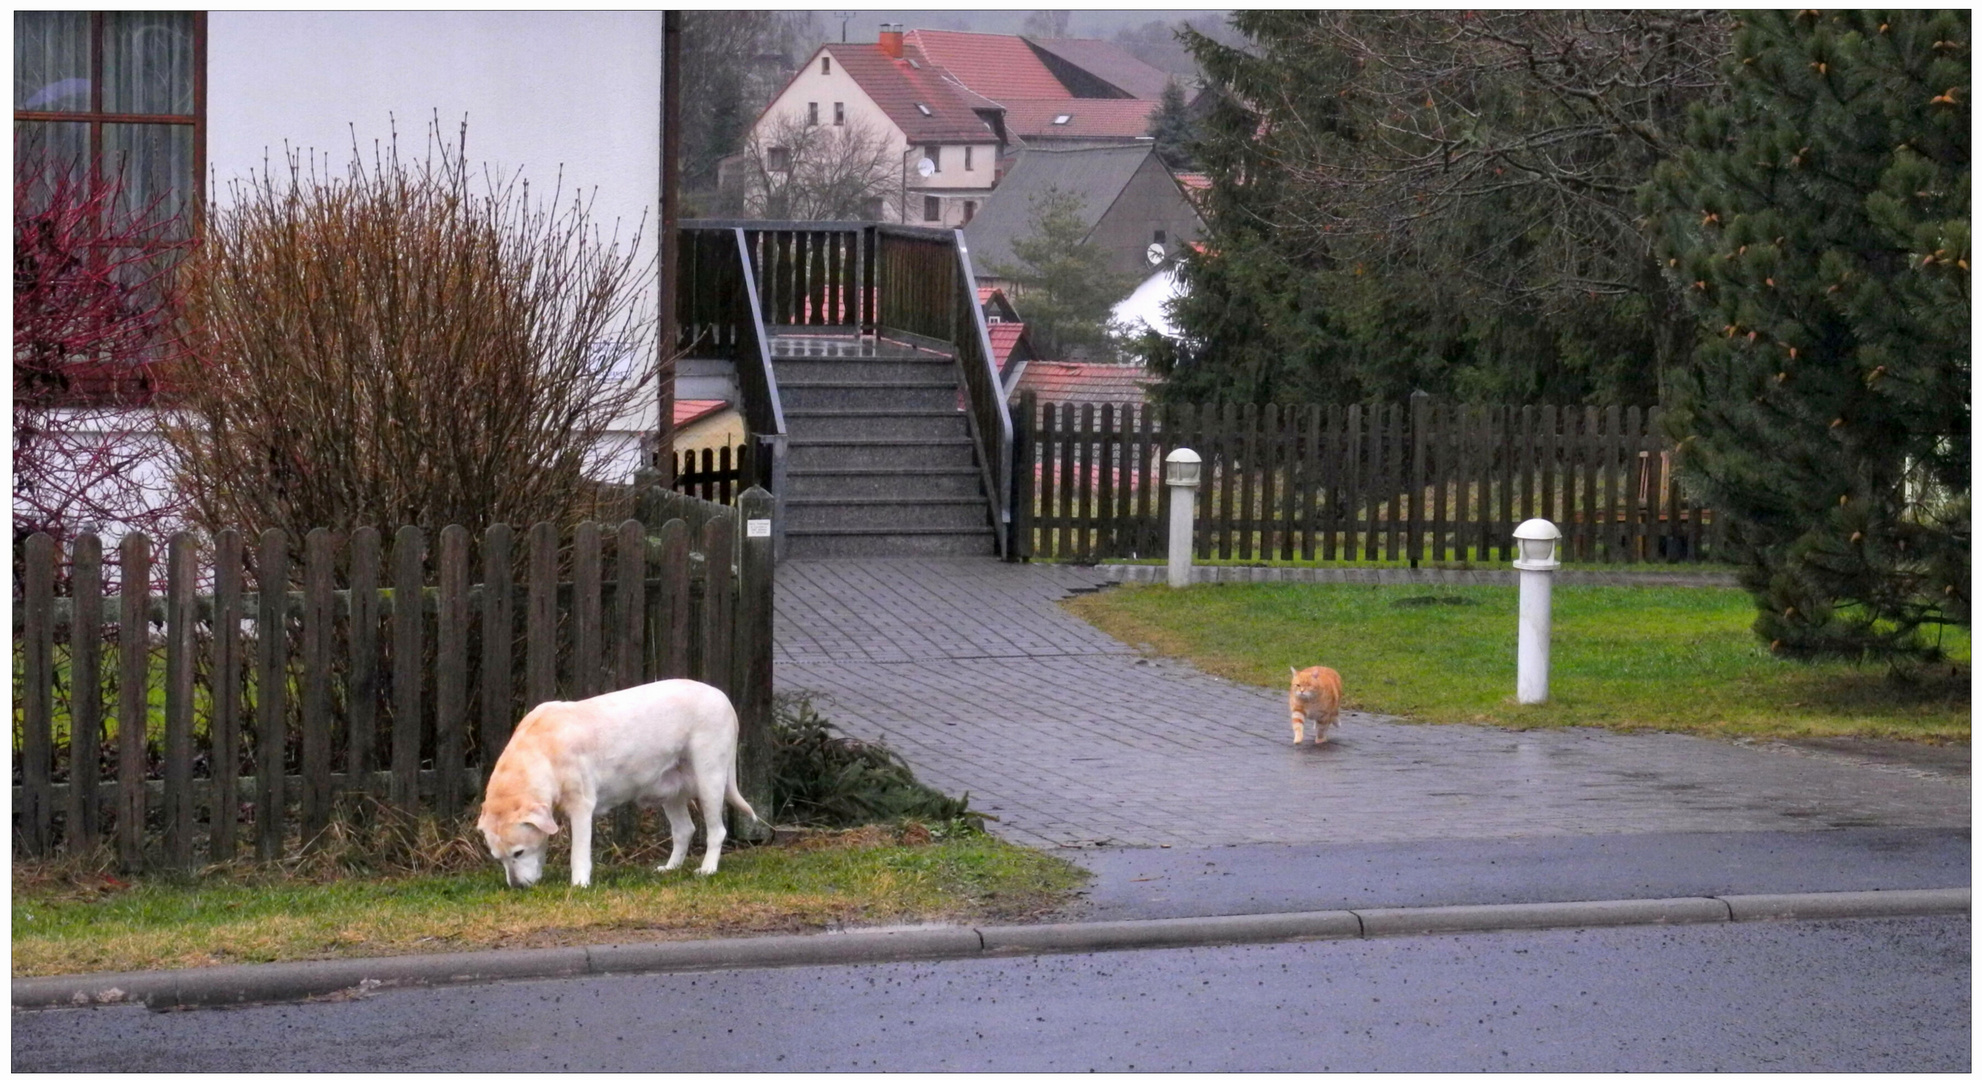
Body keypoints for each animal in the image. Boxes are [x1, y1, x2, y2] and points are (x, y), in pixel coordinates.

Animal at [475, 677, 761, 887]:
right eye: (498, 858)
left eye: (519, 853)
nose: (516, 887)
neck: (542, 750)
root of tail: (722, 696)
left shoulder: (581, 808)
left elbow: (578, 853)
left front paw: (579, 884)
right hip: (671, 791)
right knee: (684, 830)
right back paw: (671, 868)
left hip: (709, 779)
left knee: (716, 831)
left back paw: (708, 869)